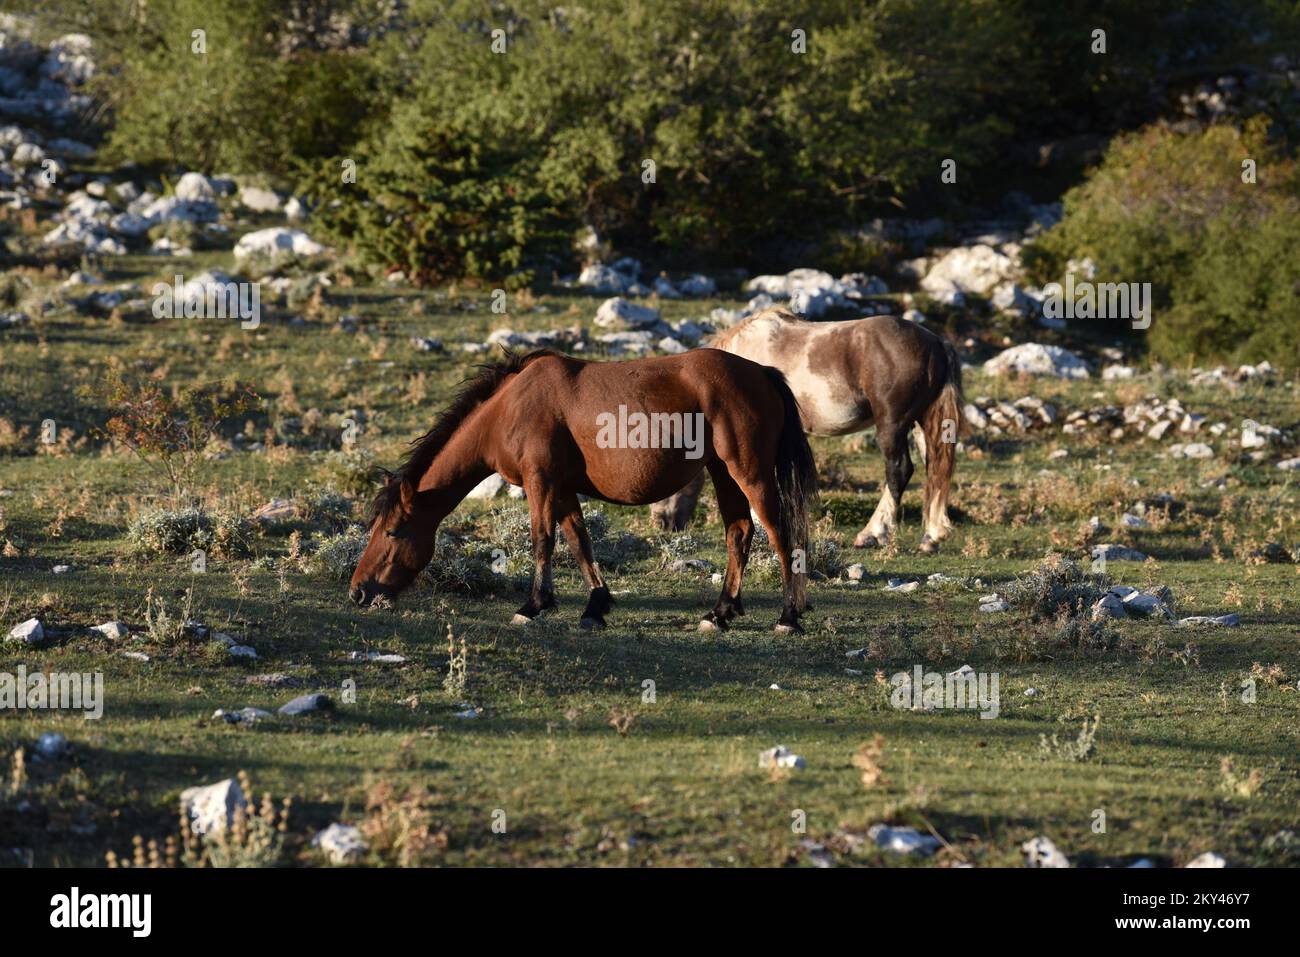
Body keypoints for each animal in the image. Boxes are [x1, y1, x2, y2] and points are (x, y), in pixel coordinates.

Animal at [345, 351, 811, 634]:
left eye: (391, 532)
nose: (357, 592)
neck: (509, 408)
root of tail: (761, 373)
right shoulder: (564, 489)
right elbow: (578, 542)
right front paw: (595, 608)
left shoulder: (540, 482)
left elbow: (542, 540)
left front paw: (532, 606)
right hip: (722, 472)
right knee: (739, 533)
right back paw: (720, 613)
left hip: (748, 472)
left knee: (780, 535)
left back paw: (788, 616)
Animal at [650, 308, 967, 553]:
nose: (661, 522)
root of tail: (936, 343)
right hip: (923, 422)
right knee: (935, 469)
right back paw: (931, 536)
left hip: (892, 423)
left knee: (899, 471)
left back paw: (872, 534)